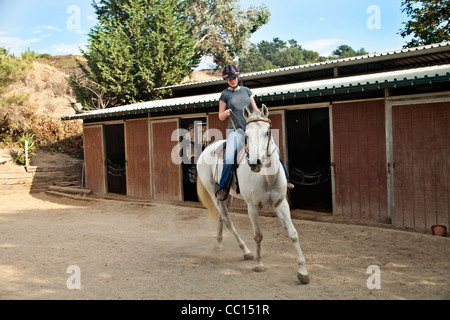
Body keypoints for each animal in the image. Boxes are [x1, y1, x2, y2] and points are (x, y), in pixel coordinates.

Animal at [197, 104, 310, 284]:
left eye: (267, 132)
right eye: (247, 135)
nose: (255, 163)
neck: (266, 177)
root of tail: (206, 150)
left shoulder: (280, 203)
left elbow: (293, 233)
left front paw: (303, 272)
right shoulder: (252, 206)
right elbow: (258, 235)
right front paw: (259, 265)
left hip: (226, 196)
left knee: (222, 218)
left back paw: (219, 244)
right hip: (214, 193)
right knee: (228, 221)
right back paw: (246, 251)